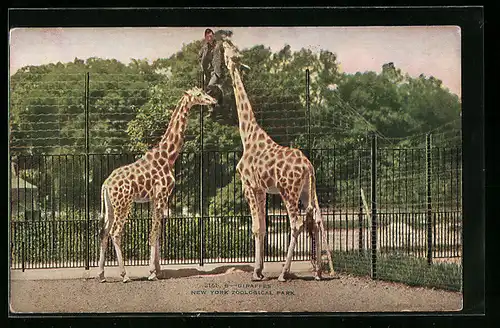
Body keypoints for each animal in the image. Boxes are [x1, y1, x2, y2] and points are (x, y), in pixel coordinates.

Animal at [96, 86, 216, 282]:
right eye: (198, 95)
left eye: (204, 92)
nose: (213, 100)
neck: (168, 156)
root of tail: (106, 184)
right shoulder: (162, 195)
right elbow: (154, 233)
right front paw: (152, 272)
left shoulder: (154, 198)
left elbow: (157, 232)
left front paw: (156, 270)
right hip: (124, 204)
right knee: (115, 232)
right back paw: (124, 275)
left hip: (111, 206)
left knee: (104, 232)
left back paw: (101, 274)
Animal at [222, 39, 336, 282]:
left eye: (231, 50)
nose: (224, 41)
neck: (248, 135)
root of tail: (309, 166)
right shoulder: (261, 189)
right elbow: (263, 228)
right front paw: (260, 270)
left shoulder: (248, 185)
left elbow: (256, 228)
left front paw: (256, 273)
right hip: (307, 190)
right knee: (317, 220)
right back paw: (318, 272)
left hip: (288, 190)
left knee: (297, 223)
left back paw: (285, 272)